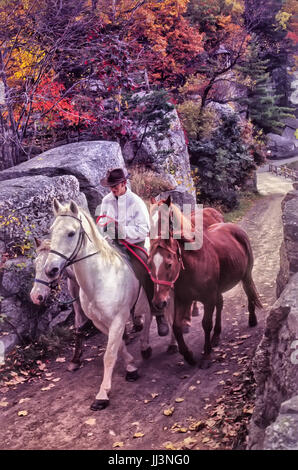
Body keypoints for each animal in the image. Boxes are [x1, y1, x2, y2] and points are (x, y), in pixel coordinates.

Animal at [44, 199, 152, 412]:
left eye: (71, 233)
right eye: (51, 231)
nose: (50, 270)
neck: (101, 279)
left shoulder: (118, 319)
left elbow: (108, 355)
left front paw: (102, 395)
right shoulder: (101, 323)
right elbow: (118, 347)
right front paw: (131, 366)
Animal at [148, 196, 262, 370]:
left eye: (169, 264)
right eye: (150, 264)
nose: (158, 302)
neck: (193, 267)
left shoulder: (208, 299)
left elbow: (206, 324)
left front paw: (206, 356)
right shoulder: (182, 299)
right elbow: (176, 326)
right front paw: (188, 356)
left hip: (246, 275)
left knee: (248, 291)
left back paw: (252, 320)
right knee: (221, 304)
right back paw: (216, 336)